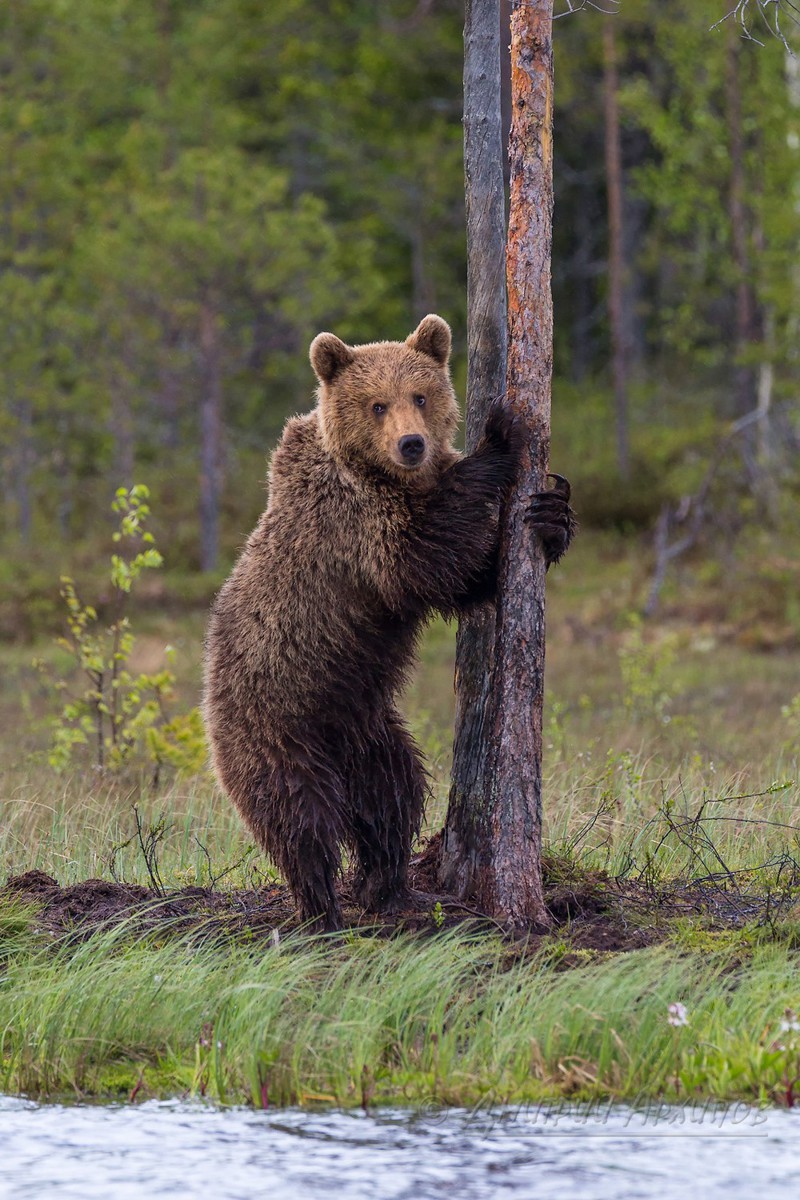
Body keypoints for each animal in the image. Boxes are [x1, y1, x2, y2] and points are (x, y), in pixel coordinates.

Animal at [203, 312, 573, 926]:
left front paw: (552, 515)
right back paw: (321, 908)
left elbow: (463, 582)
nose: (411, 443)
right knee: (298, 817)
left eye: (419, 395)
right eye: (377, 404)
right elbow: (426, 555)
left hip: (367, 728)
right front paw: (500, 435)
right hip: (273, 723)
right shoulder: (355, 527)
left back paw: (390, 885)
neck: (389, 478)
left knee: (392, 794)